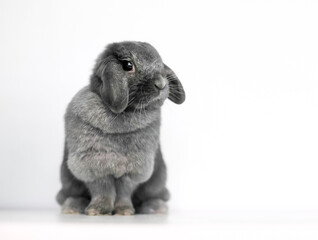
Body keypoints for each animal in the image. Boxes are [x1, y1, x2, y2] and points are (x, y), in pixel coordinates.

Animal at [56, 41, 185, 216]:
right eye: (128, 65)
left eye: (160, 64)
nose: (161, 83)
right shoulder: (94, 166)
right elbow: (102, 190)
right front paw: (97, 210)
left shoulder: (134, 169)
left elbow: (124, 192)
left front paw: (124, 211)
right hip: (68, 182)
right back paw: (72, 207)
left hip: (157, 182)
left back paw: (155, 208)